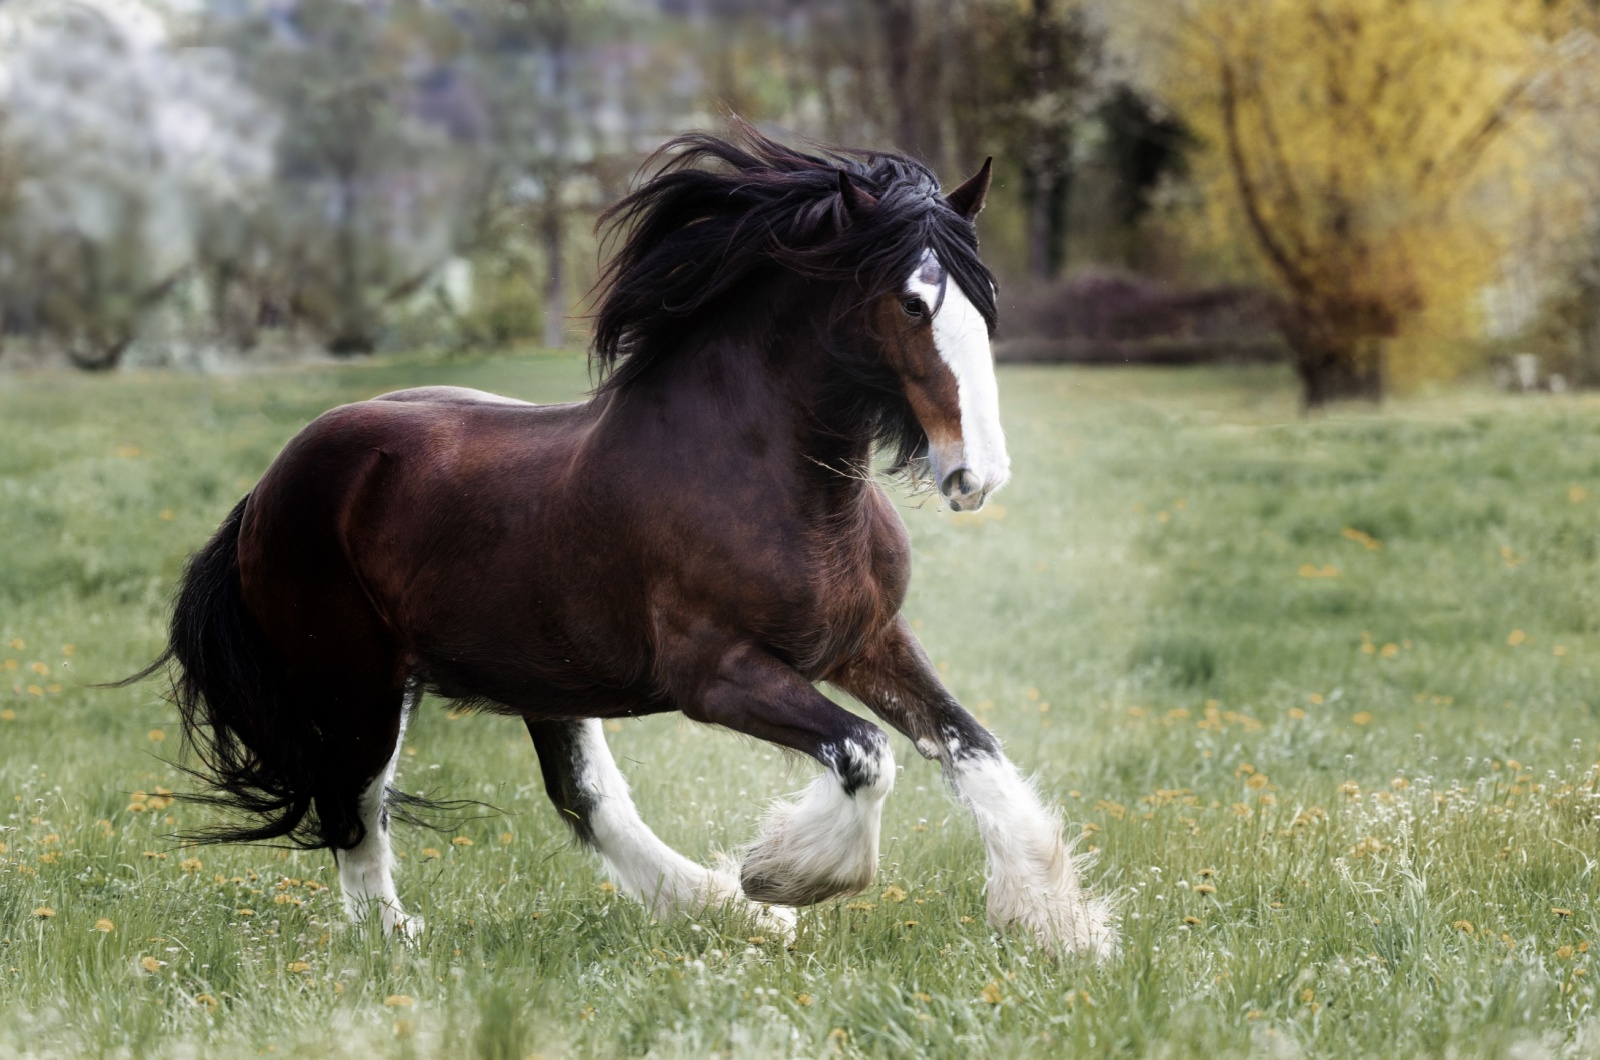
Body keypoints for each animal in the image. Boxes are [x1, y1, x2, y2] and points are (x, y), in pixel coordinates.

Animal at [128, 126, 1113, 960]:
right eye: (913, 303)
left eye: (986, 301)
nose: (976, 474)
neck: (763, 477)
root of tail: (268, 486)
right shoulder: (715, 675)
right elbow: (865, 754)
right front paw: (784, 876)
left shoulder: (867, 641)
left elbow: (970, 747)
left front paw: (1061, 928)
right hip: (357, 679)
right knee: (353, 803)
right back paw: (399, 938)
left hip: (540, 675)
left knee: (582, 800)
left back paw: (724, 912)